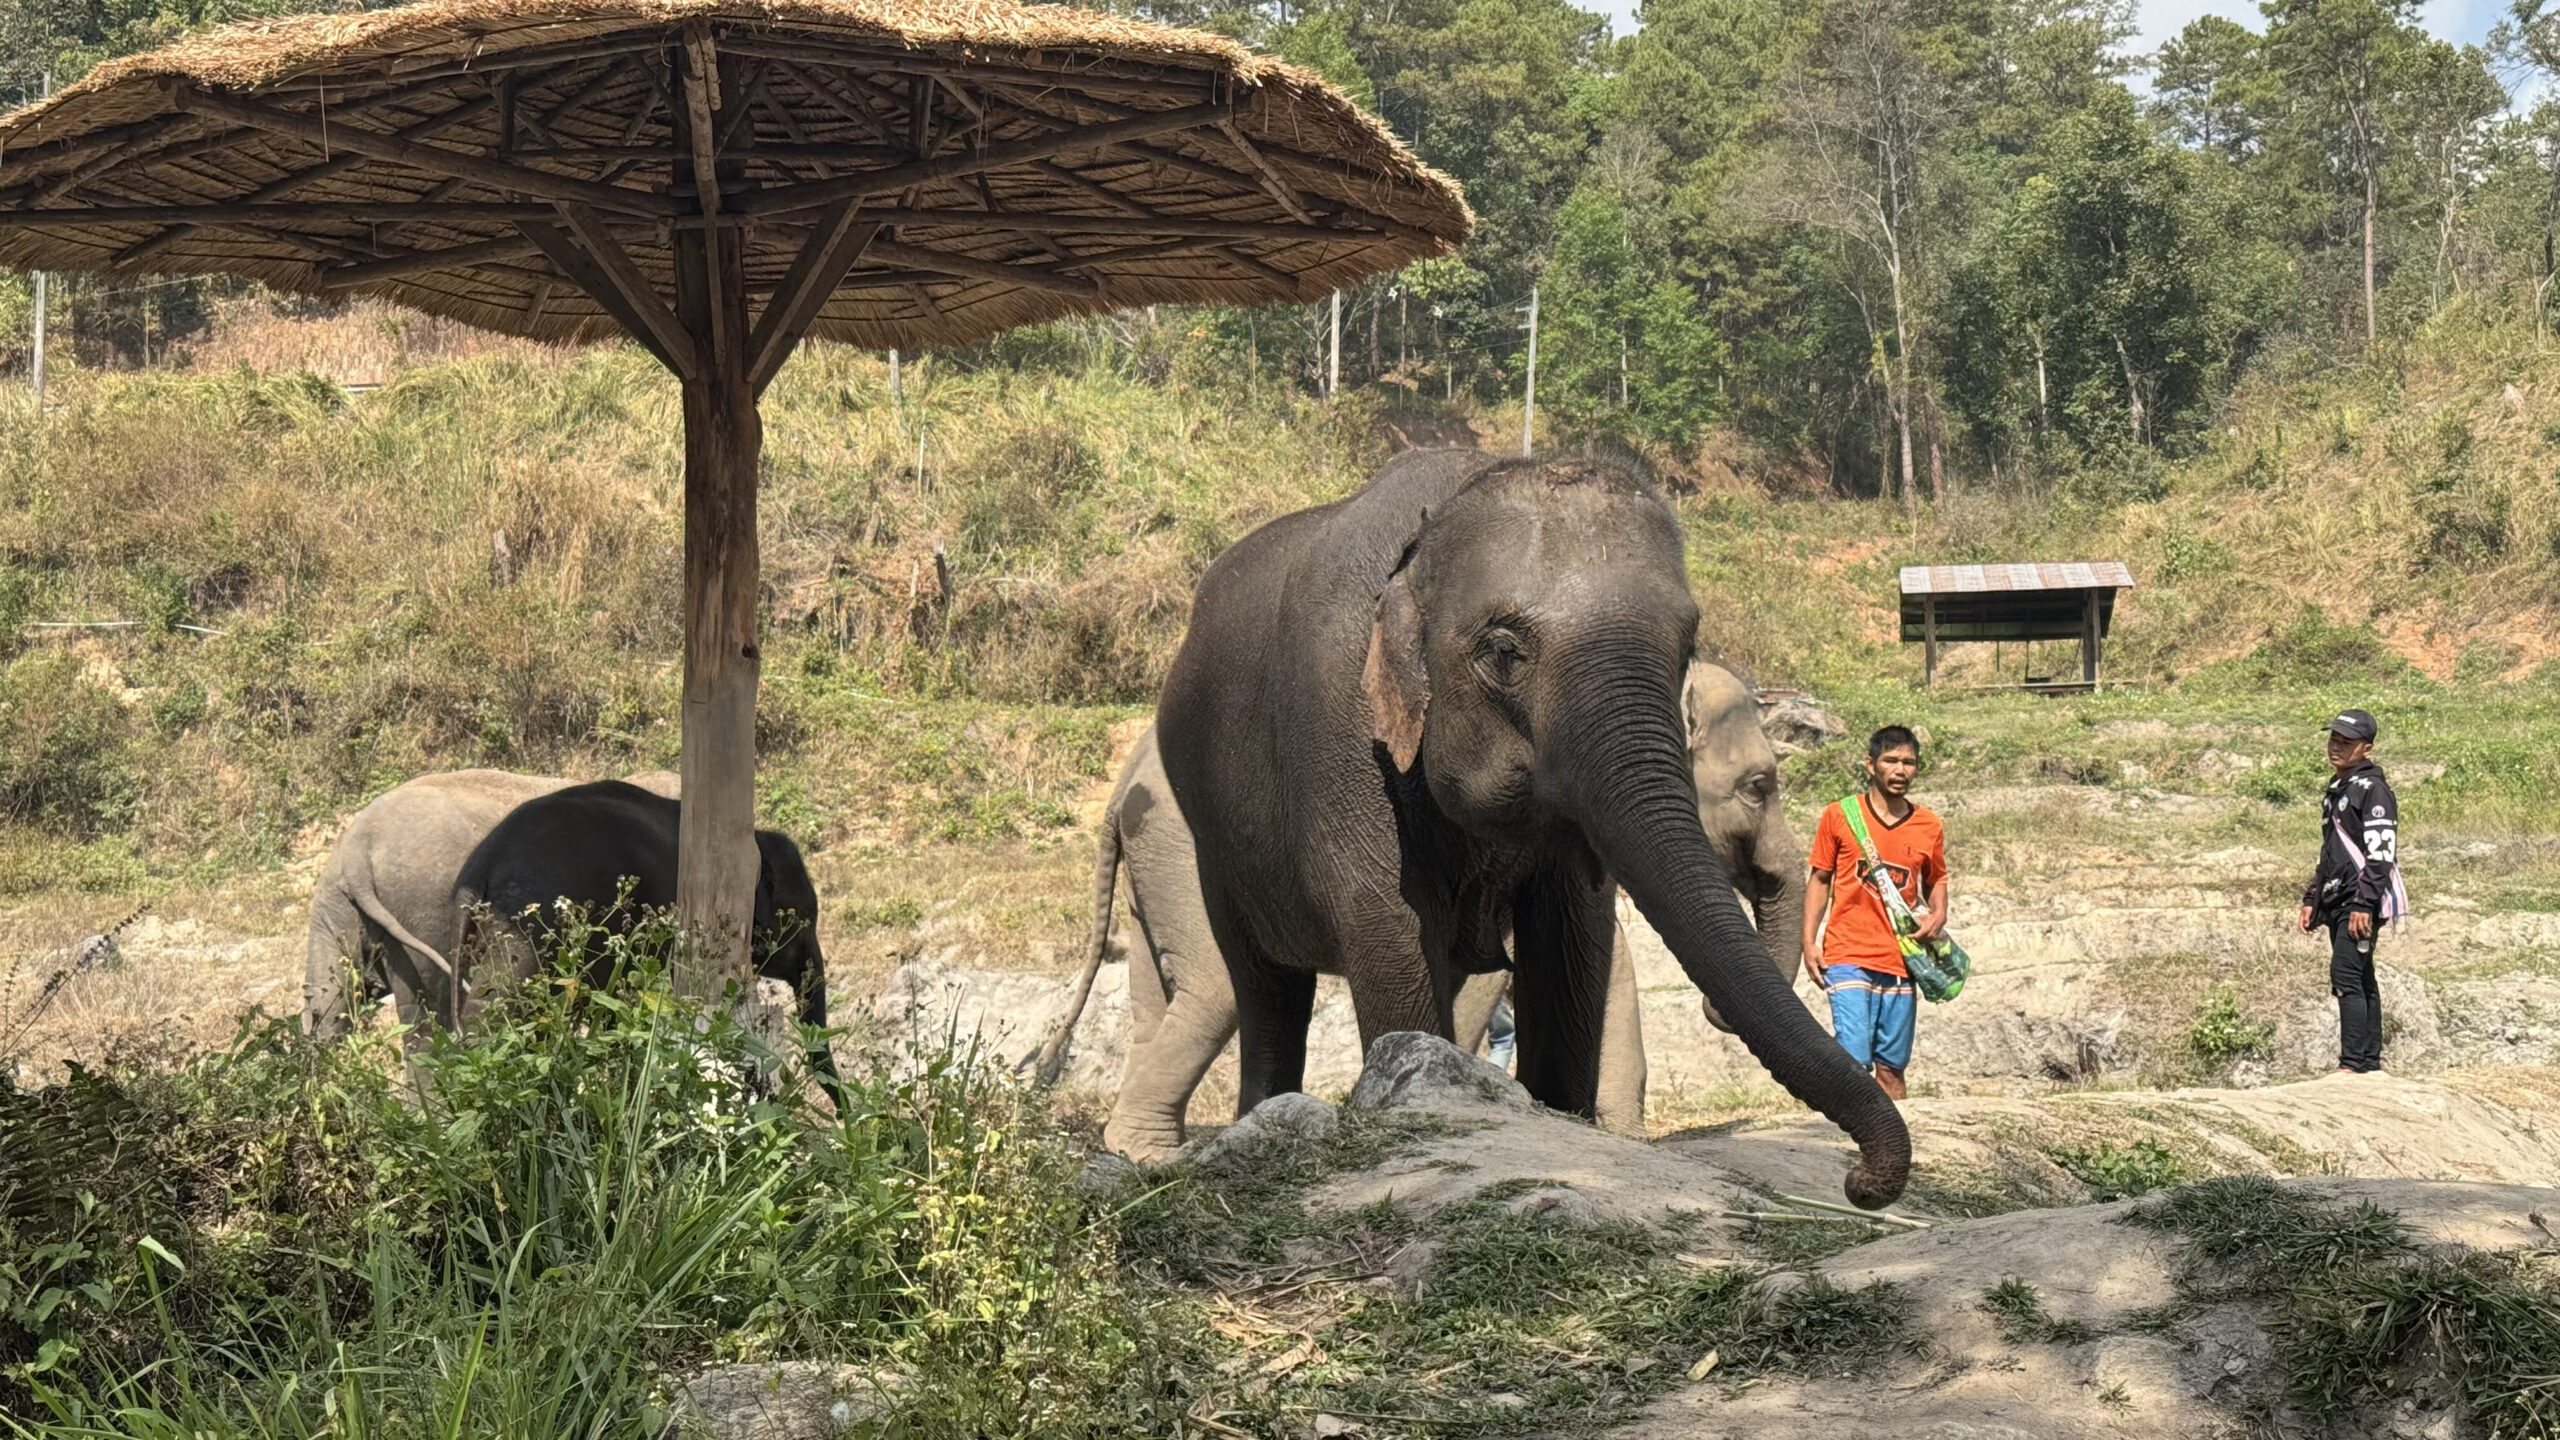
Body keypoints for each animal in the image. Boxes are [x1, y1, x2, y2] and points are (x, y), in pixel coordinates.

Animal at [1040, 654, 1802, 1162]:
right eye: (1759, 786)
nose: (1714, 1010)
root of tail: (1119, 789)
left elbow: (1597, 956)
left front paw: (1613, 1133)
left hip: (1154, 868)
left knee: (1156, 1002)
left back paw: (1141, 1149)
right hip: (1189, 856)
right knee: (1218, 988)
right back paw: (1151, 1156)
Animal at [1153, 449, 1909, 1208]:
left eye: (1687, 645)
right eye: (1503, 651)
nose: (1861, 1181)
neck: (1436, 522)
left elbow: (1571, 934)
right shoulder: (1339, 728)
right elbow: (1388, 926)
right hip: (1208, 836)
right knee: (1266, 988)